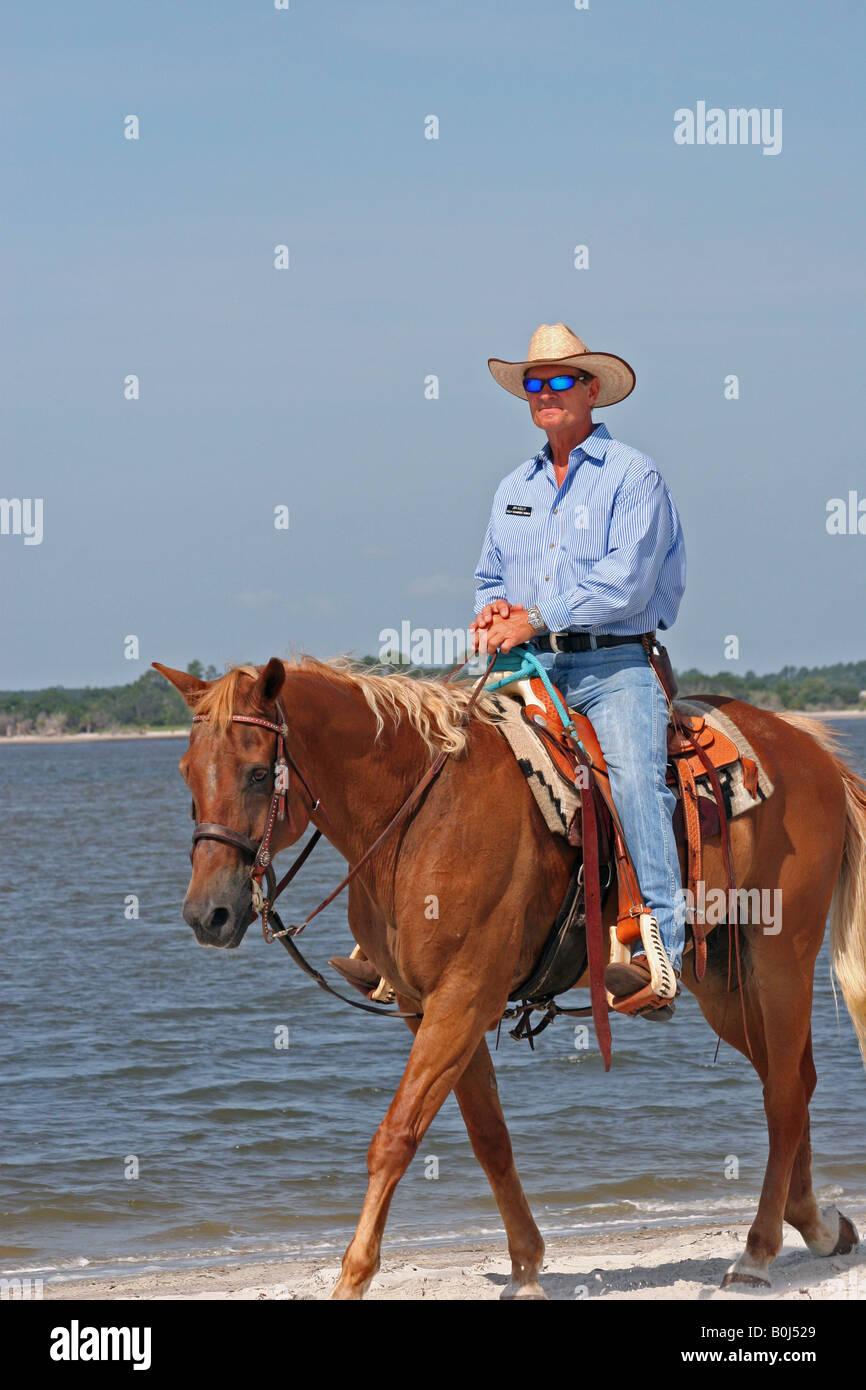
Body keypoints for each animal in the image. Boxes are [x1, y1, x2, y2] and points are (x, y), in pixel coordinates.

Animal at [155, 656, 866, 1295]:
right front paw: (525, 1269)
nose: (207, 914)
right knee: (792, 1079)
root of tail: (810, 750)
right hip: (720, 977)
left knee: (783, 1094)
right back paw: (817, 1225)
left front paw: (352, 1280)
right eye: (185, 772)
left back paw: (756, 1254)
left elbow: (396, 1137)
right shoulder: (429, 1007)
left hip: (779, 958)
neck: (420, 815)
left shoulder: (463, 998)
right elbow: (490, 1137)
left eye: (256, 773)